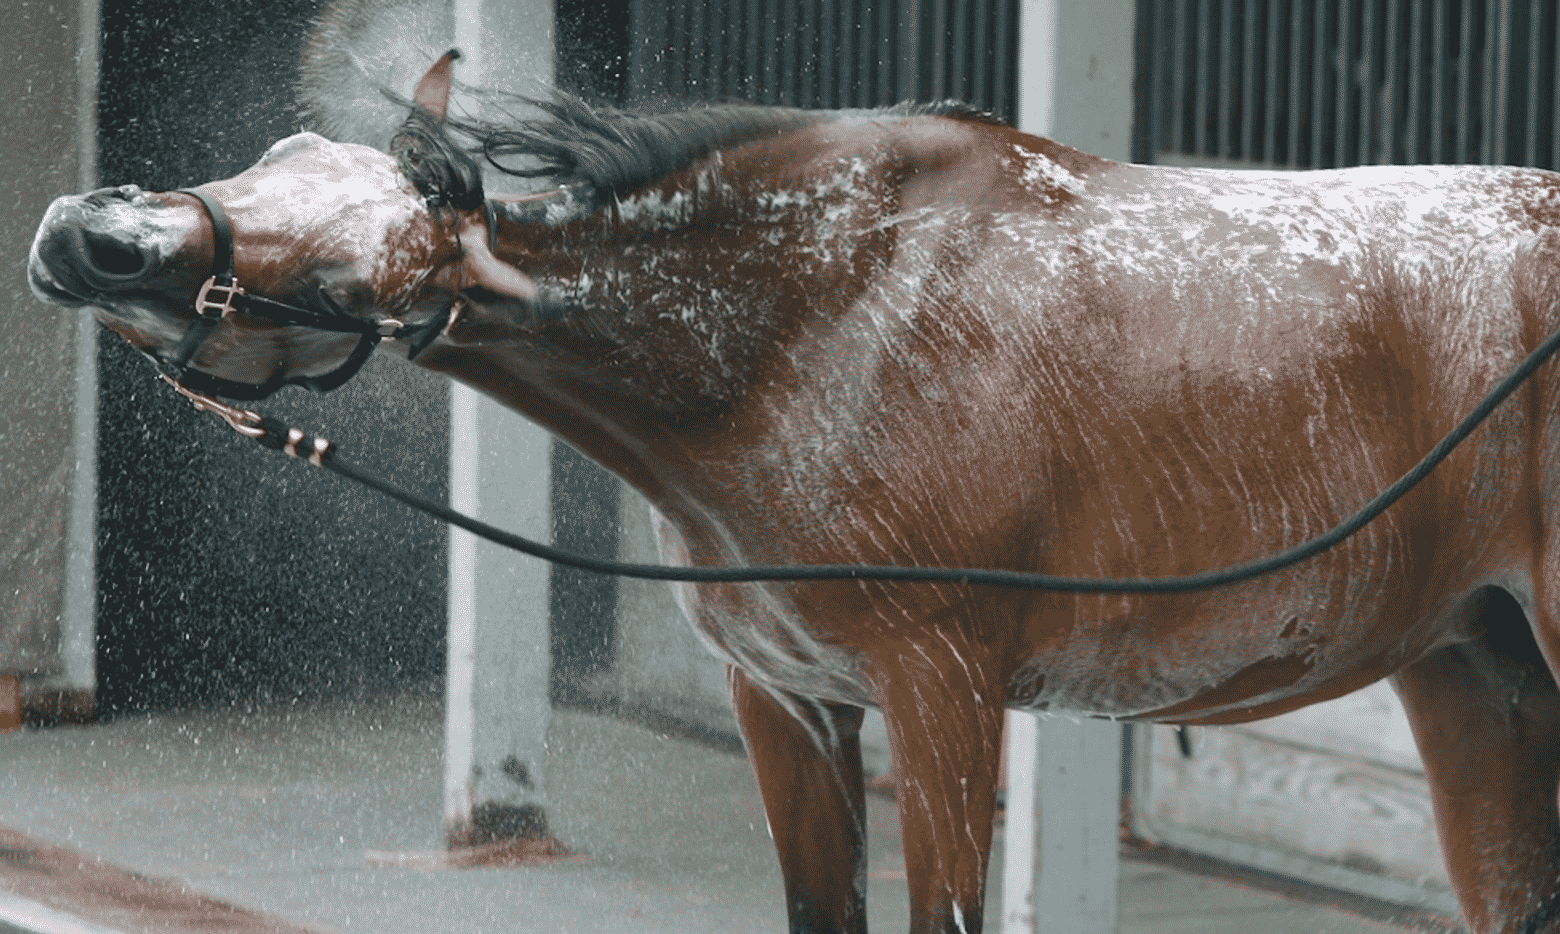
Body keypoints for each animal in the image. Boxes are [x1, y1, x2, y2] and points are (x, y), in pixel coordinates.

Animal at [24, 53, 1560, 934]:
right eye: (276, 154)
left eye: (351, 279)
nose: (87, 234)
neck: (820, 320)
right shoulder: (788, 700)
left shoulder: (944, 696)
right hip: (1477, 673)